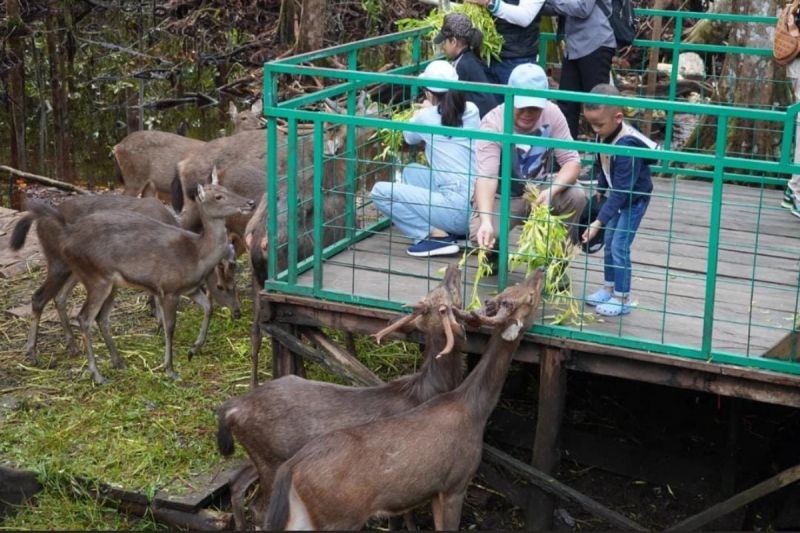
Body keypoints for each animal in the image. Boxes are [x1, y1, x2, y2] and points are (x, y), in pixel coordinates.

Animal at [19, 170, 253, 382]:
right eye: (219, 197)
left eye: (227, 189)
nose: (250, 202)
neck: (197, 255)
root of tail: (68, 236)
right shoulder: (168, 288)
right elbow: (170, 327)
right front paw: (170, 368)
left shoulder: (190, 288)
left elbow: (208, 307)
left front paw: (193, 349)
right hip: (94, 276)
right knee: (82, 316)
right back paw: (94, 373)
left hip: (105, 281)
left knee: (97, 315)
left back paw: (117, 361)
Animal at [216, 262, 466, 528]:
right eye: (447, 295)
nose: (452, 267)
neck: (428, 390)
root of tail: (233, 407)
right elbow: (403, 515)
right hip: (272, 460)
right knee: (259, 508)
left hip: (260, 456)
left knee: (237, 480)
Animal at [262, 268, 544, 528]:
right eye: (530, 298)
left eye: (514, 288)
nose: (540, 271)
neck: (475, 409)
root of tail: (291, 469)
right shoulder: (455, 483)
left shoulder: (433, 491)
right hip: (338, 518)